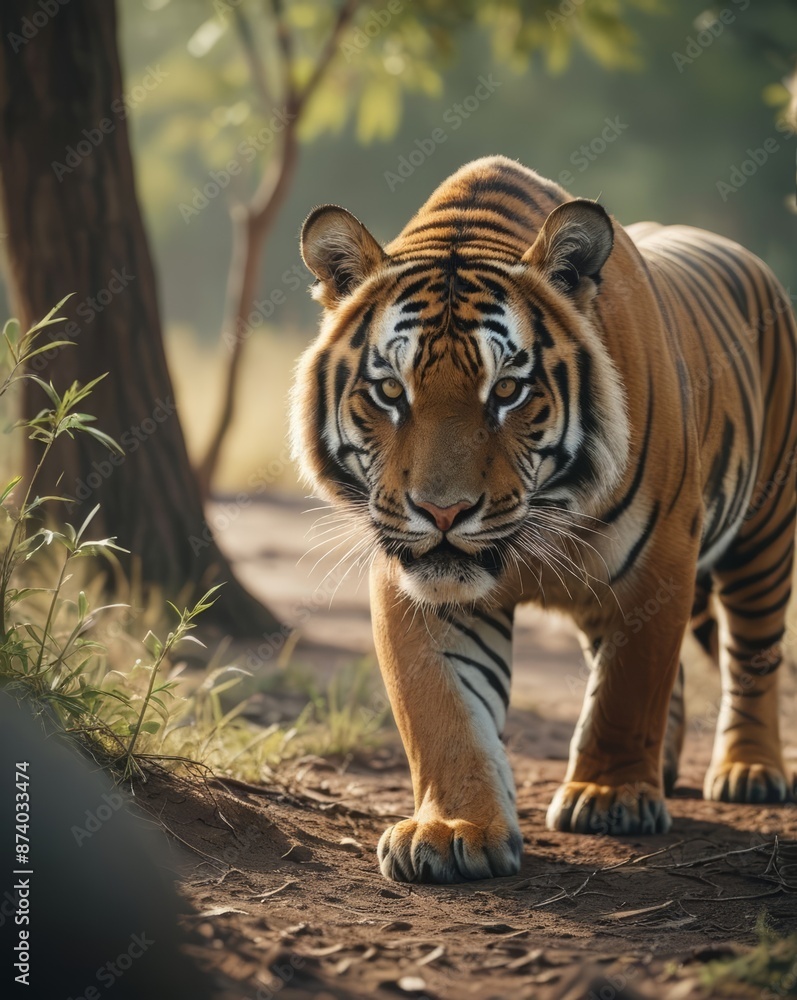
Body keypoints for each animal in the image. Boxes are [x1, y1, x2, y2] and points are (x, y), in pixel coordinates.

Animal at [290, 155, 797, 884]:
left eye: (507, 390)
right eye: (390, 391)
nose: (443, 510)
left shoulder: (658, 559)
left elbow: (628, 684)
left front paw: (609, 796)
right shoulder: (413, 580)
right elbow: (441, 710)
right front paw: (454, 828)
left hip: (763, 536)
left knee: (752, 654)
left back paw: (748, 771)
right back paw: (667, 767)